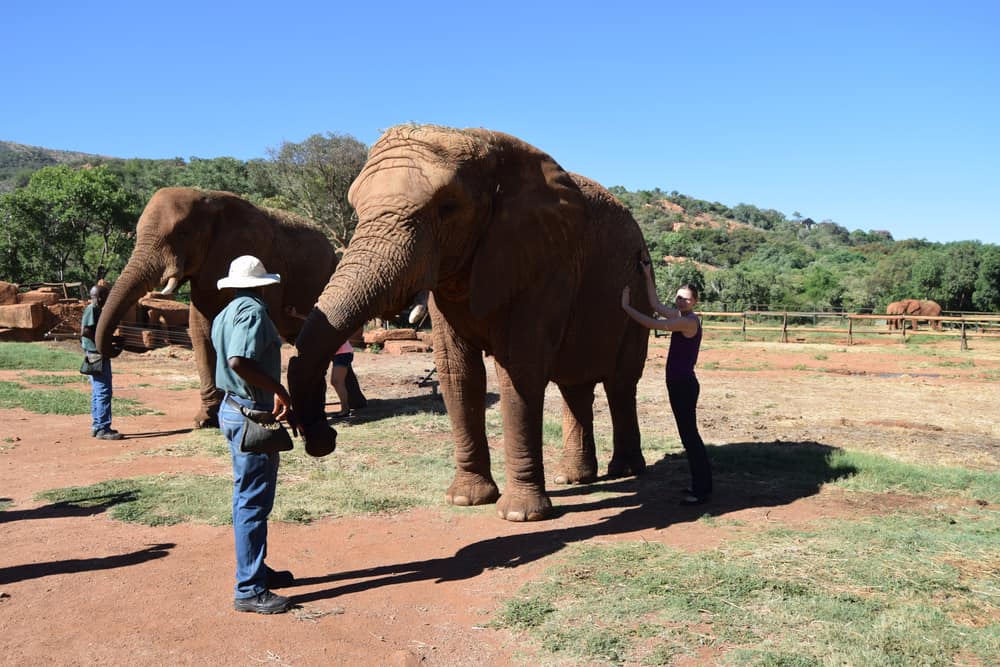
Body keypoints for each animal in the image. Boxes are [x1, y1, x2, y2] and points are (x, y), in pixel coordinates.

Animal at [95, 187, 364, 427]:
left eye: (182, 234)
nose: (117, 342)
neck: (208, 198)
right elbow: (200, 329)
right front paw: (204, 420)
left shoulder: (265, 258)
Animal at [288, 125, 653, 522]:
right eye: (355, 209)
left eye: (447, 208)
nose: (323, 439)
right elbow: (458, 372)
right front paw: (466, 499)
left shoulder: (544, 262)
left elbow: (520, 370)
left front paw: (520, 516)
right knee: (575, 385)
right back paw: (572, 478)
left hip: (637, 292)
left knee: (620, 383)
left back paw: (626, 470)